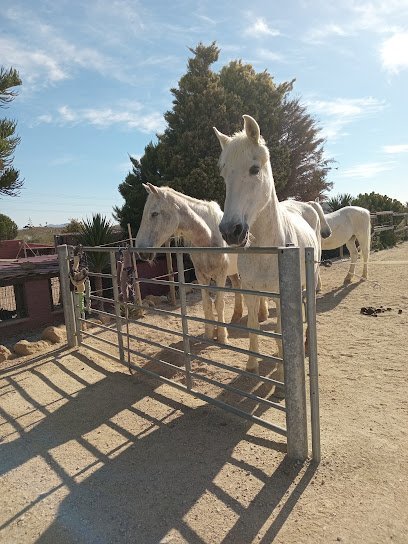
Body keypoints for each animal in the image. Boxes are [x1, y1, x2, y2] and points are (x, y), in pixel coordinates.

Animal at [135, 185, 242, 342]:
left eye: (154, 213)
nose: (141, 252)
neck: (208, 238)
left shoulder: (220, 275)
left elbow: (219, 304)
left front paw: (222, 337)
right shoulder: (201, 275)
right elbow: (207, 304)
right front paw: (209, 334)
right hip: (233, 272)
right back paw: (237, 317)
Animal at [214, 115, 318, 386]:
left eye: (254, 169)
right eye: (224, 173)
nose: (231, 231)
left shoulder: (283, 294)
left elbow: (282, 330)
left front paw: (282, 373)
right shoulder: (251, 290)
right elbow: (254, 325)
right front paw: (252, 365)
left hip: (310, 282)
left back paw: (305, 344)